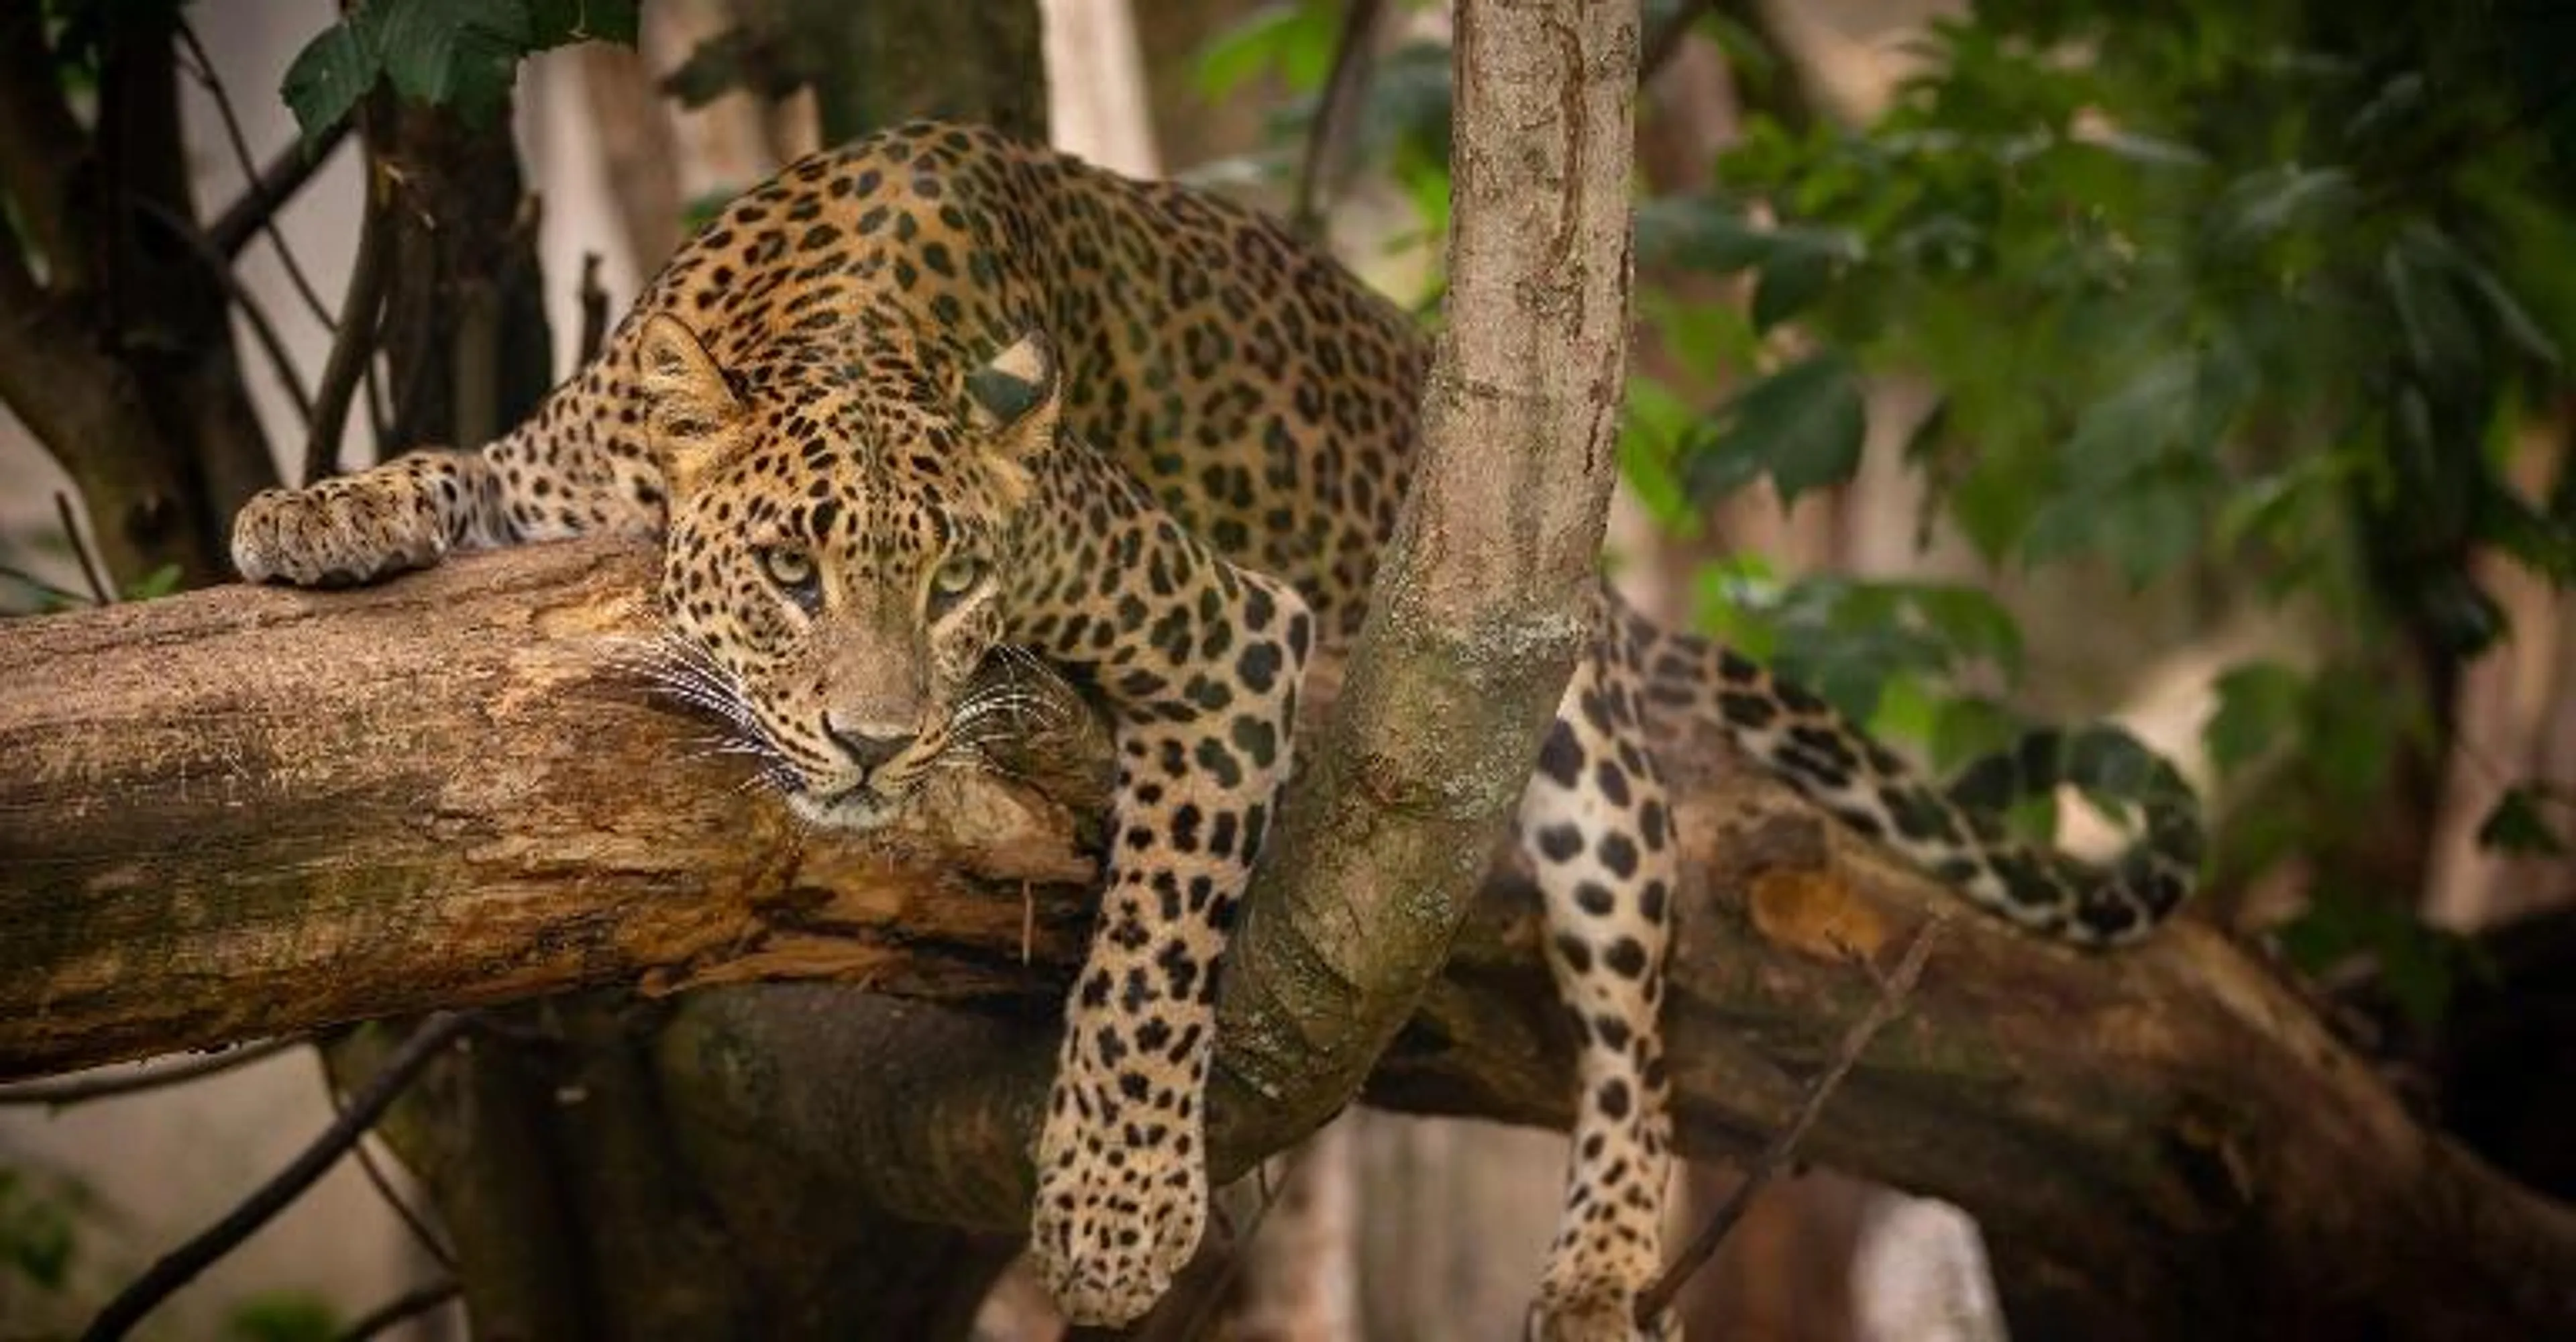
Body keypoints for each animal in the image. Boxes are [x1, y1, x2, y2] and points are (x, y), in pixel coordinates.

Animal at [232, 120, 2200, 1339]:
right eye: (792, 573)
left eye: (957, 581)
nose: (874, 744)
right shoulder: (572, 467)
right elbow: (465, 467)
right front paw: (315, 510)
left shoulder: (1224, 629)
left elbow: (1151, 959)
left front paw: (1113, 1215)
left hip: (1556, 730)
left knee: (1639, 1004)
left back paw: (1599, 1256)